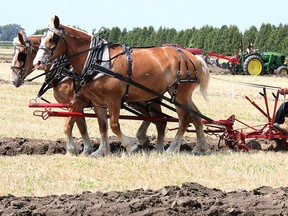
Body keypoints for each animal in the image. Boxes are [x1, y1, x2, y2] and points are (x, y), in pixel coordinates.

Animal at [11, 29, 168, 156]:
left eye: (22, 54)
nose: (13, 80)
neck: (65, 70)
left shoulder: (77, 101)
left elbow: (75, 125)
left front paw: (78, 150)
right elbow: (85, 125)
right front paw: (95, 149)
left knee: (160, 120)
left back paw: (158, 147)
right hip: (137, 100)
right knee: (152, 117)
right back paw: (144, 140)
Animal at [32, 15, 210, 154]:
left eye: (52, 39)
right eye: (41, 39)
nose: (37, 62)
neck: (96, 61)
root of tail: (193, 57)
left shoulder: (113, 100)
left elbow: (113, 125)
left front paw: (131, 145)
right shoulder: (97, 102)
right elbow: (100, 125)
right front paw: (100, 151)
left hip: (178, 94)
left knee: (184, 119)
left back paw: (171, 149)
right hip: (181, 96)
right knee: (195, 117)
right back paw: (199, 147)